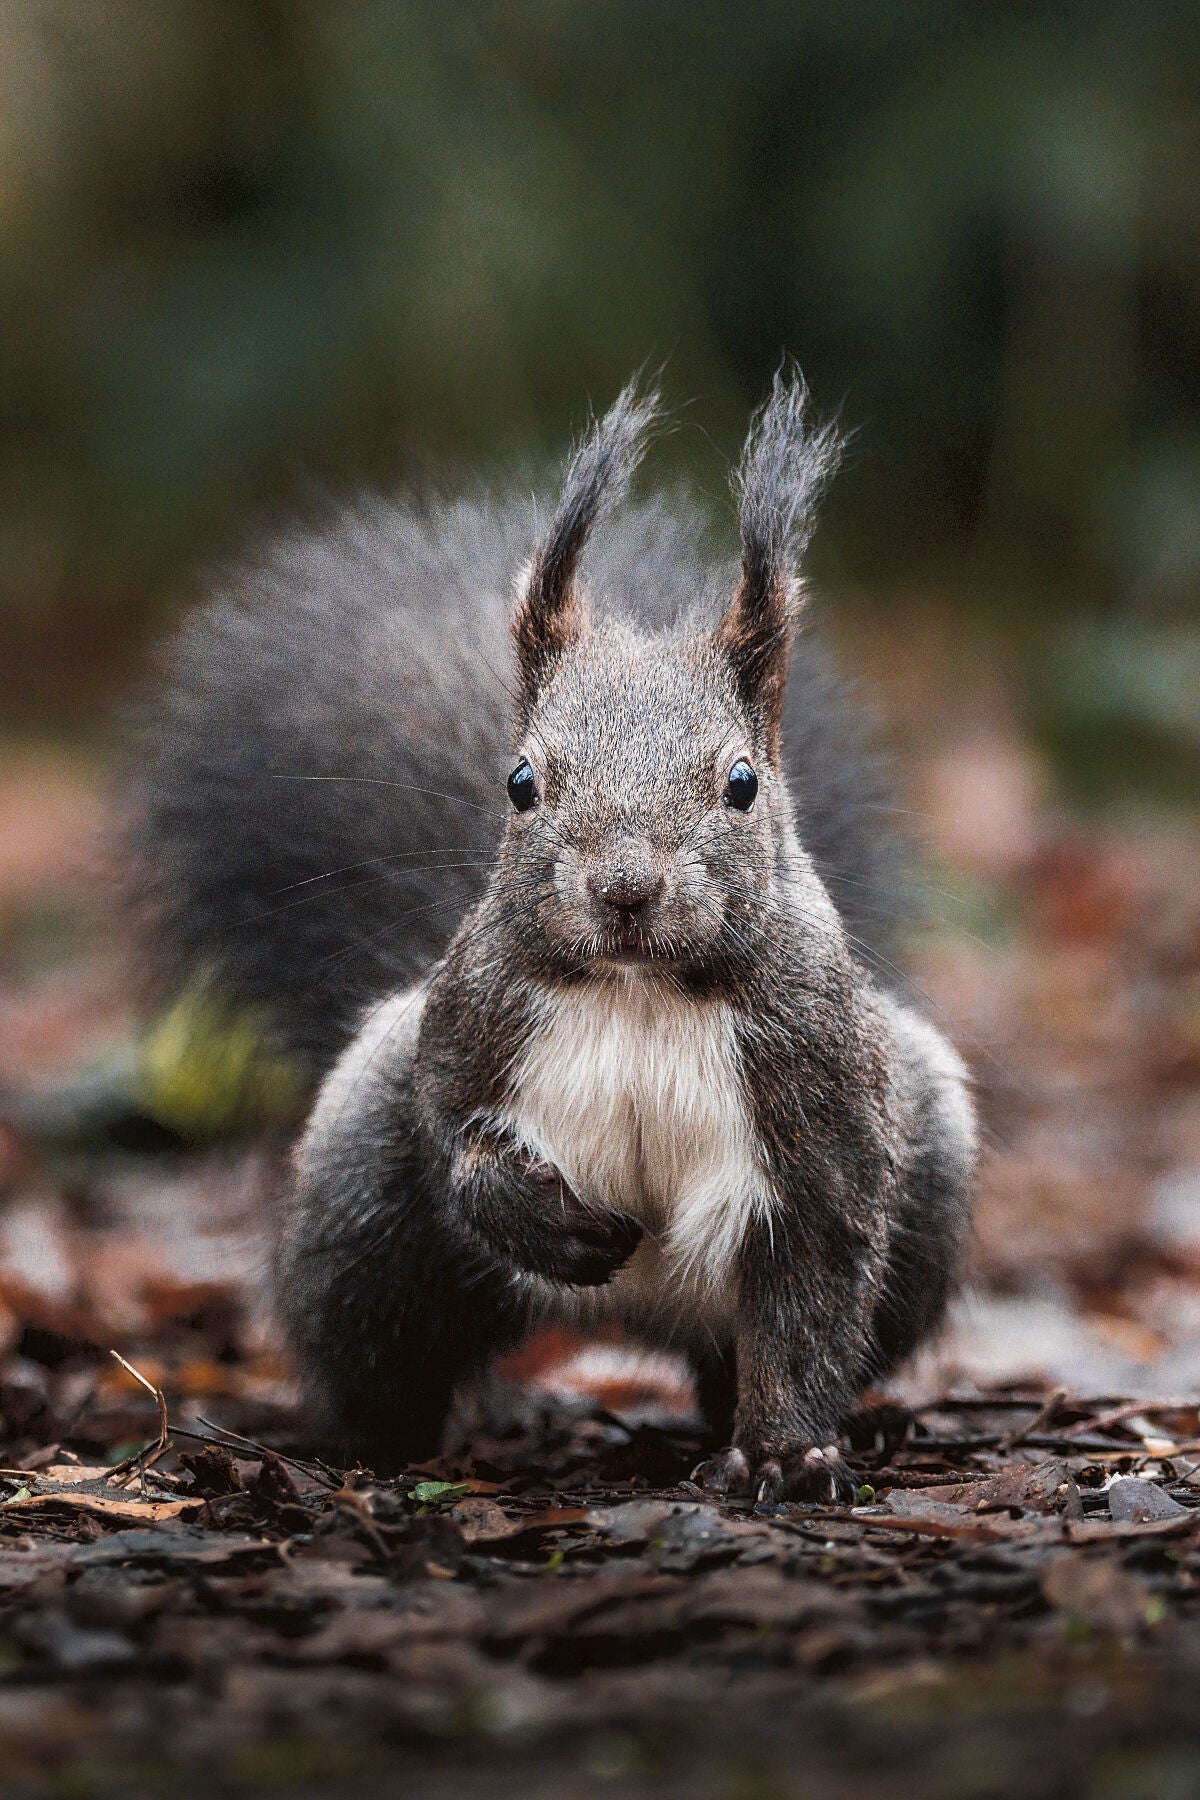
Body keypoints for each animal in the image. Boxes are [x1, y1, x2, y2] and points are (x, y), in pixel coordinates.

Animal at [126, 372, 978, 1497]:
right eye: (522, 781)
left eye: (743, 783)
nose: (624, 887)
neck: (639, 985)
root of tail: (634, 1322)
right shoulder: (469, 1017)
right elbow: (451, 1134)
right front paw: (531, 1211)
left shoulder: (824, 1100)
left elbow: (811, 1296)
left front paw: (790, 1453)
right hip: (356, 1196)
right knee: (378, 1335)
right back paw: (368, 1444)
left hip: (930, 1162)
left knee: (748, 1355)